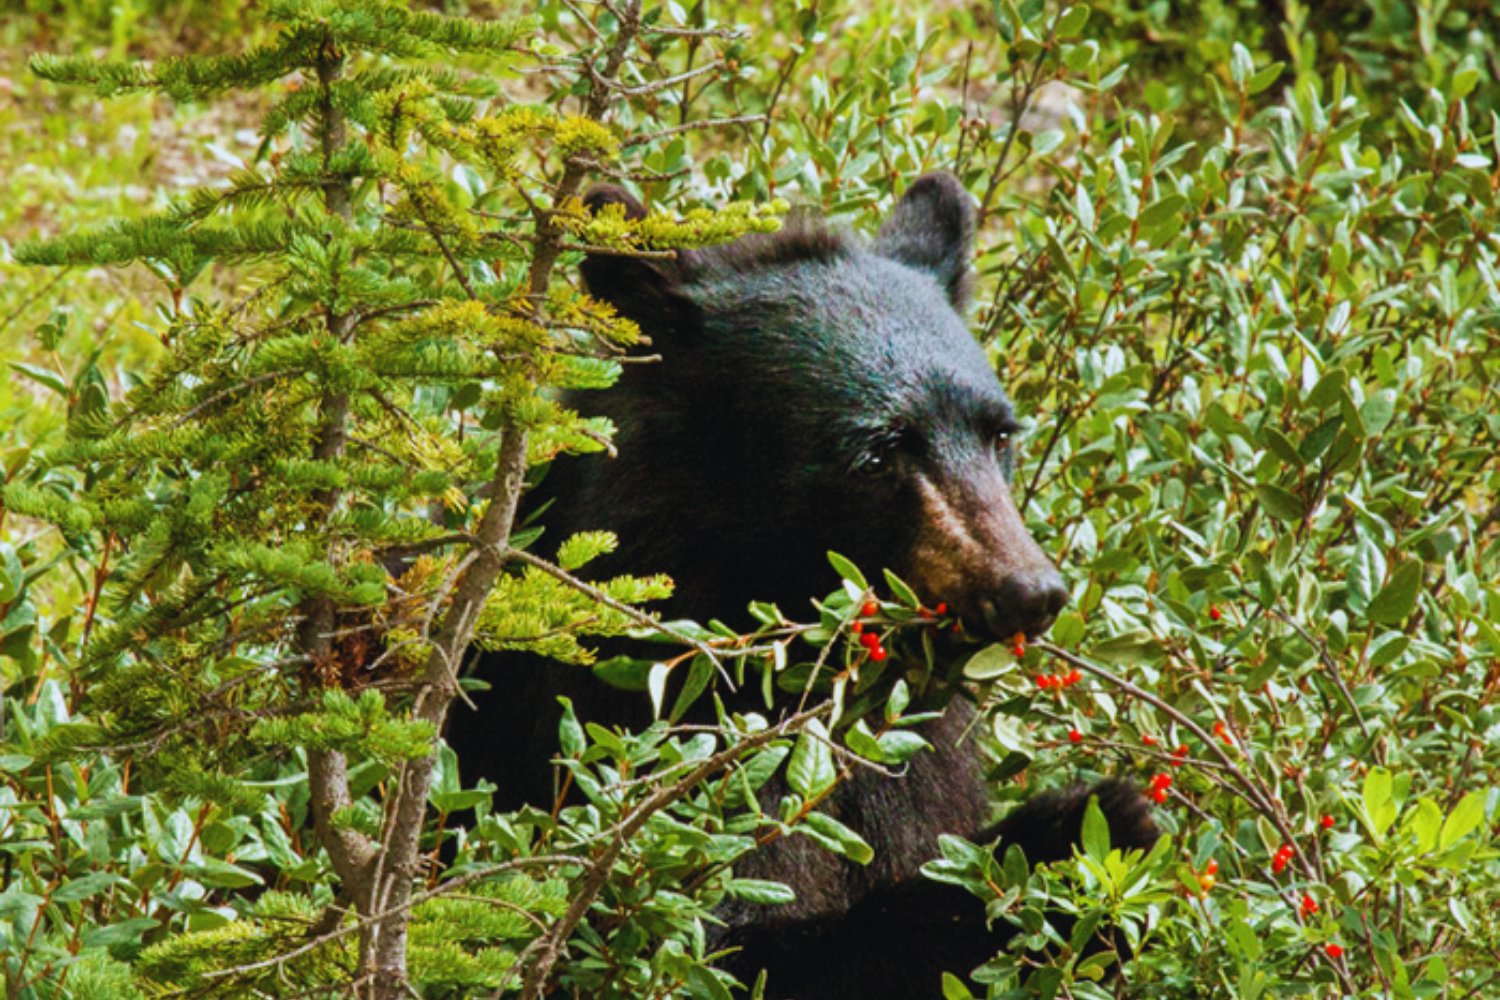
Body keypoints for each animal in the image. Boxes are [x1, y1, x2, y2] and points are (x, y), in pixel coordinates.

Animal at [444, 173, 1158, 997]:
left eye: (1000, 435)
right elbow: (720, 944)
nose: (1028, 592)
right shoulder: (643, 742)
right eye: (877, 453)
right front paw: (1074, 833)